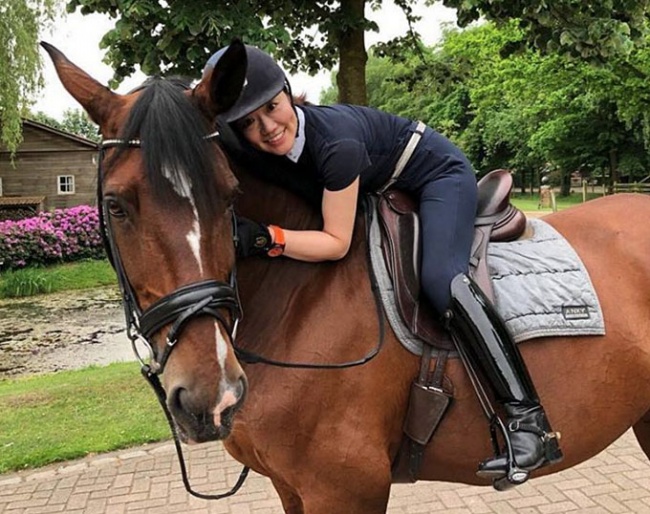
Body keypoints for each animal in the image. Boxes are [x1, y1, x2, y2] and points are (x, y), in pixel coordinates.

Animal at [40, 41, 648, 512]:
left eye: (230, 197)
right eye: (116, 205)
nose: (211, 396)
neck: (299, 300)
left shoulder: (347, 489)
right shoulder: (291, 487)